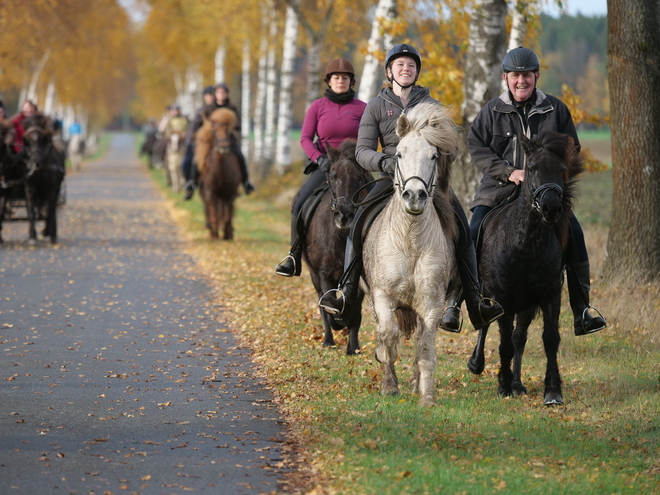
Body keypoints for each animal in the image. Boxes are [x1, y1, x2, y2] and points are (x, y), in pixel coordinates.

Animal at [20, 113, 65, 244]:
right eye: (28, 140)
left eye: (42, 139)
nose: (36, 162)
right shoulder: (29, 188)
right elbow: (31, 211)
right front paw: (32, 236)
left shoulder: (51, 188)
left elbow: (49, 209)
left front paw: (52, 235)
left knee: (50, 207)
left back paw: (47, 231)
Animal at [196, 108, 242, 240]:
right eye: (214, 131)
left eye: (229, 131)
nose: (224, 146)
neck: (221, 172)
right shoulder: (210, 193)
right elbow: (214, 215)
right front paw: (215, 235)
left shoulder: (230, 194)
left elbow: (227, 216)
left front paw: (227, 234)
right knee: (210, 211)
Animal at [302, 139, 374, 356]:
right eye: (333, 176)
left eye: (360, 177)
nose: (344, 214)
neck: (341, 237)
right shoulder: (324, 274)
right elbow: (327, 305)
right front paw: (334, 327)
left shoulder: (358, 278)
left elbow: (355, 312)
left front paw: (353, 347)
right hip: (314, 275)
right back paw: (328, 339)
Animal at [360, 102, 458, 408]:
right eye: (399, 154)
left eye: (434, 155)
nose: (414, 195)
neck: (410, 242)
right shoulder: (381, 296)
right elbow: (387, 334)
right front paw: (388, 377)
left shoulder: (432, 304)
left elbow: (425, 350)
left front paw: (427, 397)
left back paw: (415, 383)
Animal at [466, 132, 580, 406]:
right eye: (532, 168)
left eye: (562, 169)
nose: (551, 208)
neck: (525, 244)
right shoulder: (502, 298)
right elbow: (504, 344)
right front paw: (502, 385)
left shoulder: (549, 295)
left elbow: (549, 339)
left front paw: (552, 390)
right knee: (487, 325)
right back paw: (477, 364)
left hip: (526, 305)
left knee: (519, 338)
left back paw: (518, 384)